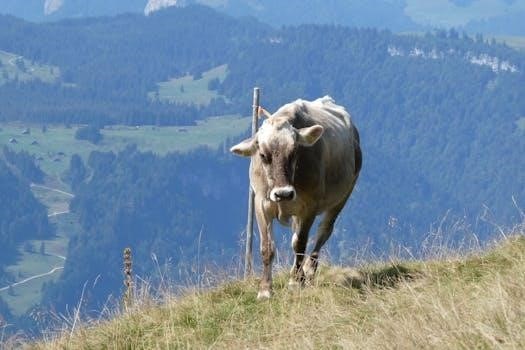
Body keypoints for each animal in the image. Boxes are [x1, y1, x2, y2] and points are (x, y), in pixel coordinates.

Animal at [230, 97, 360, 300]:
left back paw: (308, 270)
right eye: (263, 155)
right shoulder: (261, 204)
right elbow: (267, 247)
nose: (283, 193)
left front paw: (295, 282)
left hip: (342, 196)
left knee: (323, 232)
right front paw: (265, 289)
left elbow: (300, 243)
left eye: (294, 152)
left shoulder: (309, 207)